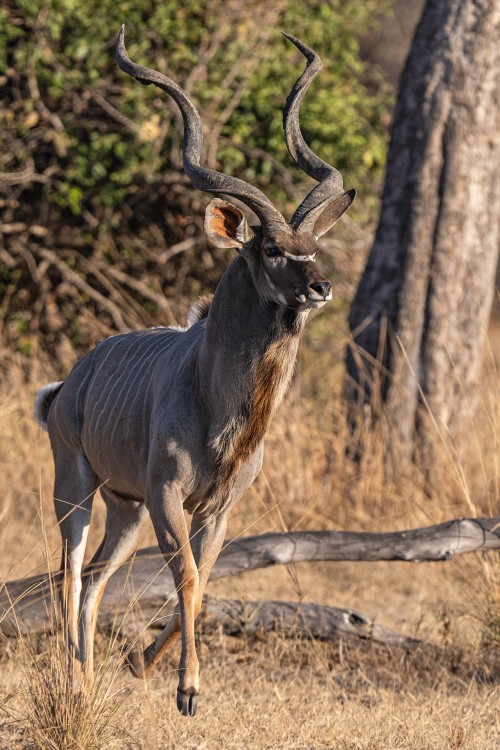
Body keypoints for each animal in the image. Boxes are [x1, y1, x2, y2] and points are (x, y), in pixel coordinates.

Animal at [34, 26, 356, 720]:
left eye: (314, 246)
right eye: (271, 248)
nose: (321, 287)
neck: (218, 411)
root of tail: (68, 385)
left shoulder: (217, 508)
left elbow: (203, 580)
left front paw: (142, 664)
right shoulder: (168, 496)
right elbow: (183, 574)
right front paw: (187, 689)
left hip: (125, 510)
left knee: (96, 577)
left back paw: (92, 678)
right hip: (76, 486)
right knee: (69, 572)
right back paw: (73, 685)